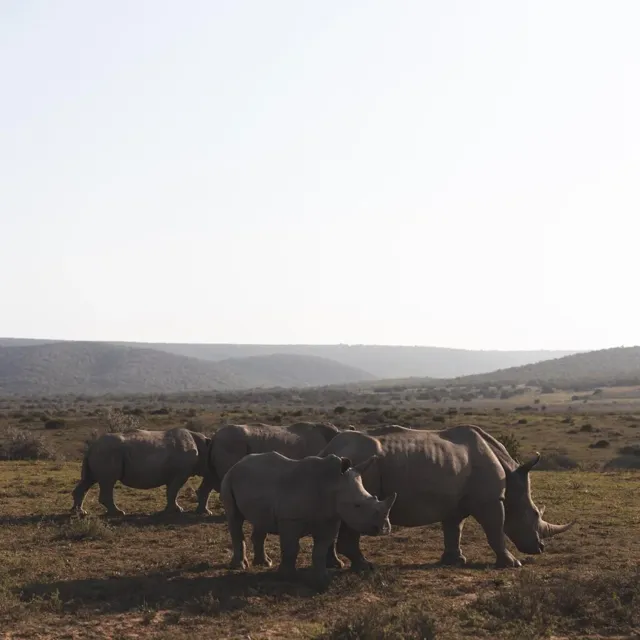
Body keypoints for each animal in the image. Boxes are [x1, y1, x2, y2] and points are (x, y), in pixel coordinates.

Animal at [71, 427, 215, 516]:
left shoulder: (174, 474)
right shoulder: (181, 473)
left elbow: (171, 491)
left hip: (100, 452)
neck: (204, 446)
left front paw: (170, 510)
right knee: (108, 482)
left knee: (88, 480)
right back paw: (119, 513)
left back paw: (80, 512)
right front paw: (177, 510)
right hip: (106, 452)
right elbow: (174, 491)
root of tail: (92, 447)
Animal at [220, 451, 396, 587]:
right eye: (357, 506)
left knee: (261, 521)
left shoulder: (330, 518)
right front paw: (287, 577)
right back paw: (240, 566)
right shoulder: (290, 518)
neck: (332, 484)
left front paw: (322, 580)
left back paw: (264, 563)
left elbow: (320, 549)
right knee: (235, 519)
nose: (383, 528)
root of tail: (238, 463)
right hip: (228, 479)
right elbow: (291, 548)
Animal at [319, 424, 575, 570]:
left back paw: (335, 565)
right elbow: (496, 531)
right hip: (361, 465)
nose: (540, 548)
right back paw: (364, 566)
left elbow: (454, 529)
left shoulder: (455, 501)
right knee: (355, 513)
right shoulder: (491, 499)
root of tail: (329, 448)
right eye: (534, 514)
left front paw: (455, 560)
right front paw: (512, 564)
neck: (512, 479)